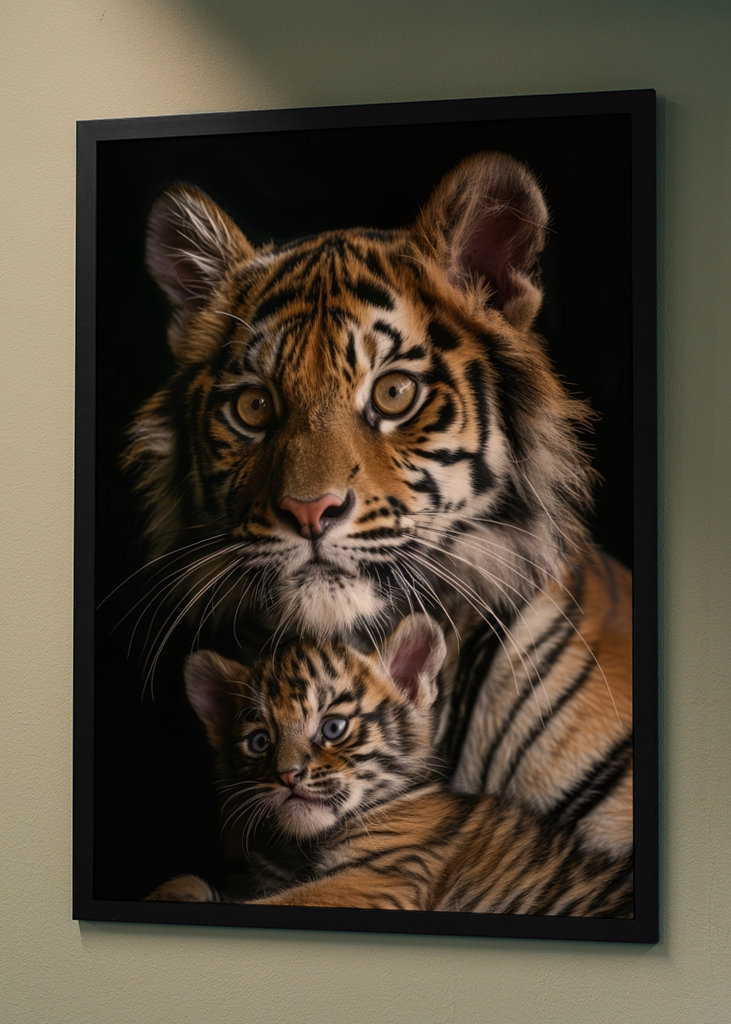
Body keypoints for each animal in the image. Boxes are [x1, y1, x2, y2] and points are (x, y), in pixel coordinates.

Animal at [147, 614, 633, 917]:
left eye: (333, 727)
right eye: (260, 741)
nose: (287, 776)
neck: (300, 848)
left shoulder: (379, 878)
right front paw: (179, 891)